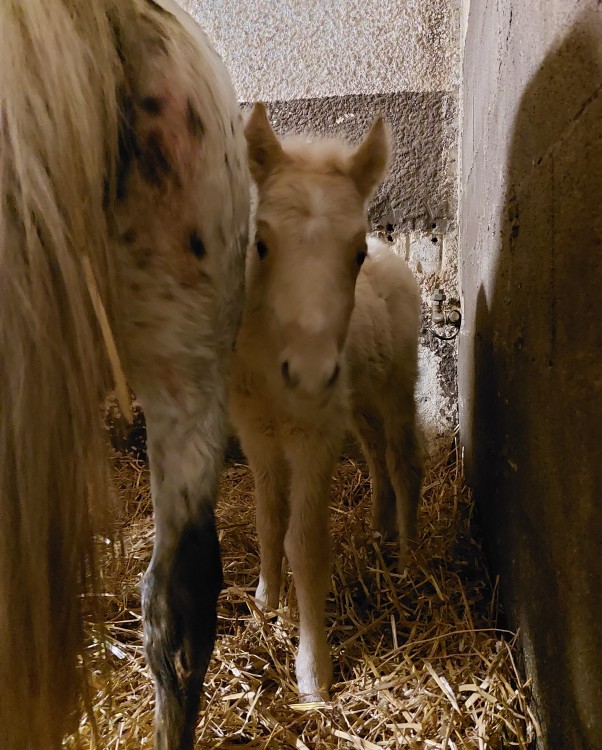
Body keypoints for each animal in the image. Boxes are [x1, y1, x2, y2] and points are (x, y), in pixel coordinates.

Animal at [230, 106, 422, 704]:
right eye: (261, 244)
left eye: (354, 252)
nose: (310, 374)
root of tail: (393, 253)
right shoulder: (256, 431)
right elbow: (268, 521)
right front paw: (265, 604)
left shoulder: (314, 436)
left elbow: (306, 543)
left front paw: (313, 675)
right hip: (353, 401)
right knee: (377, 455)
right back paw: (381, 529)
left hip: (394, 386)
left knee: (403, 462)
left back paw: (408, 559)